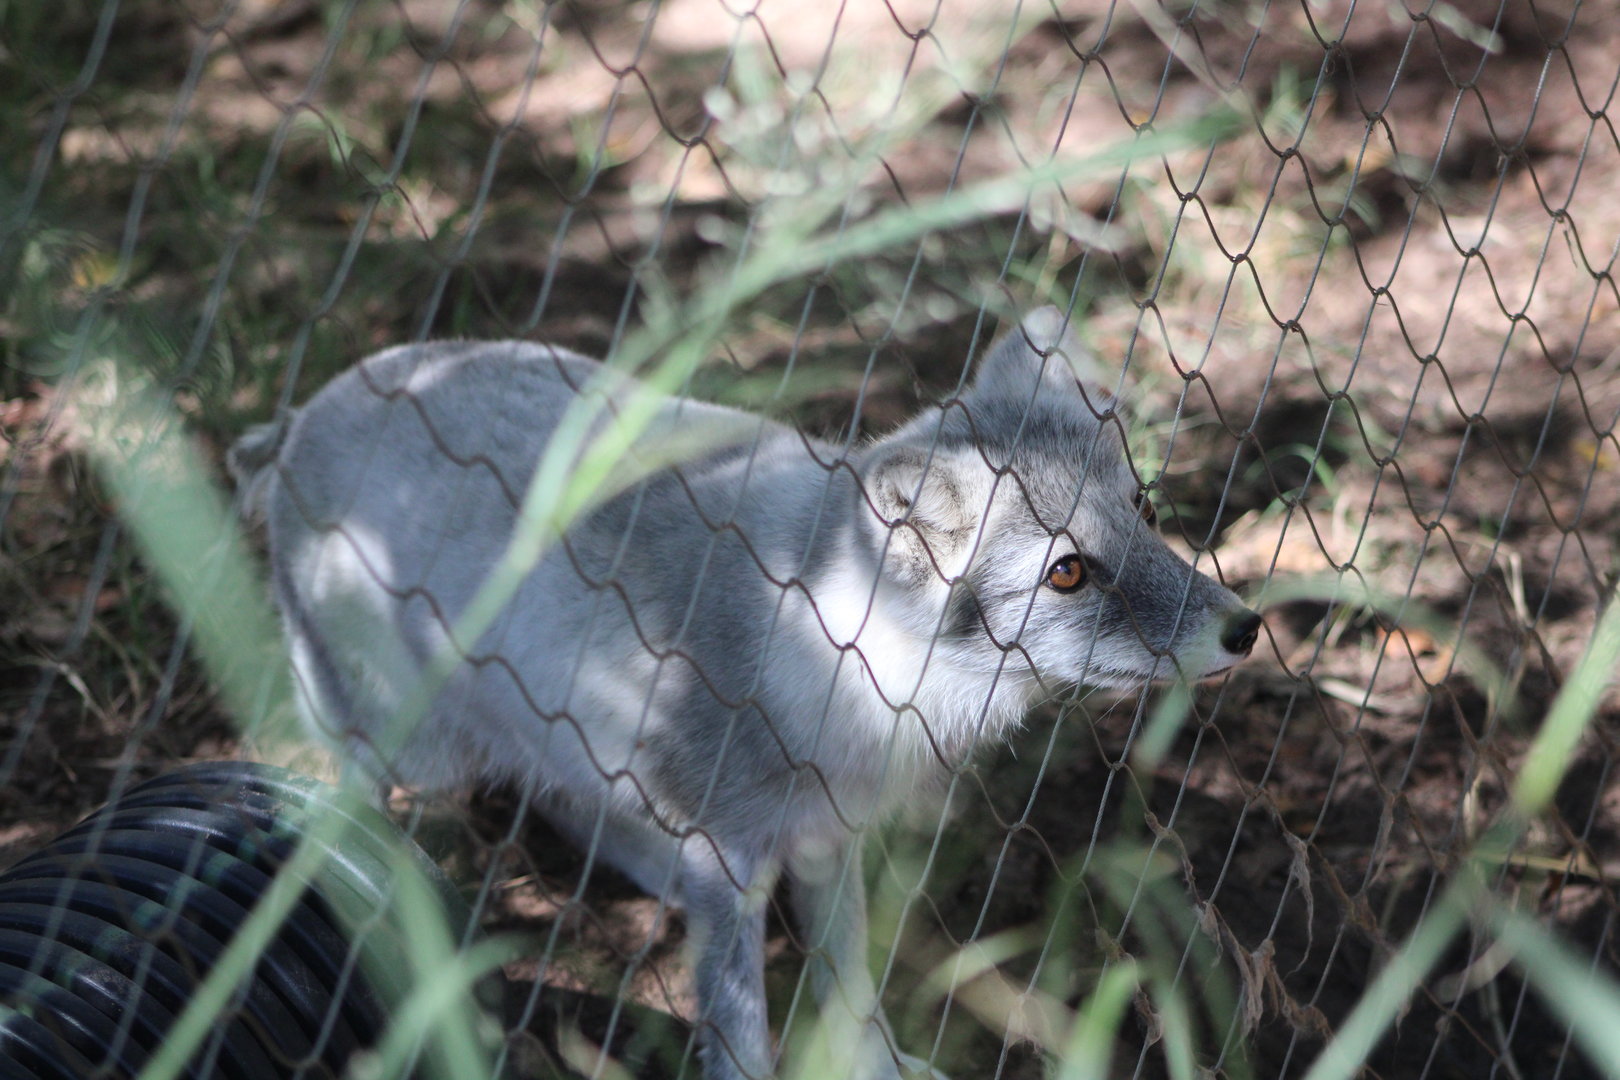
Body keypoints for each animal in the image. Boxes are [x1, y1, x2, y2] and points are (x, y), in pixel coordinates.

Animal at [228, 307, 1261, 1080]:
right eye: (1069, 574)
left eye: (1144, 512)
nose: (1246, 628)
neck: (824, 647)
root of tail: (306, 412)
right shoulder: (732, 861)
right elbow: (744, 1041)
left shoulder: (828, 842)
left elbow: (855, 999)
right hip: (407, 745)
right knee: (364, 789)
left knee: (565, 800)